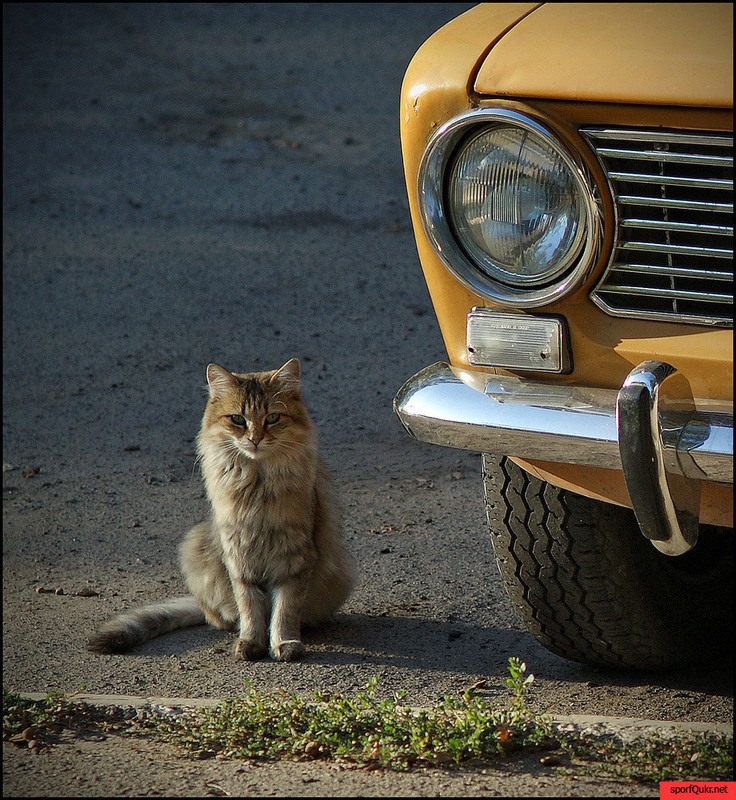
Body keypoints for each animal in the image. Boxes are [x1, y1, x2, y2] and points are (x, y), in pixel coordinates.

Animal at [87, 360, 356, 664]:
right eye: (238, 419)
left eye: (273, 418)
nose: (255, 439)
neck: (257, 484)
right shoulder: (238, 555)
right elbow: (250, 606)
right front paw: (251, 641)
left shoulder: (294, 556)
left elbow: (284, 609)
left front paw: (284, 643)